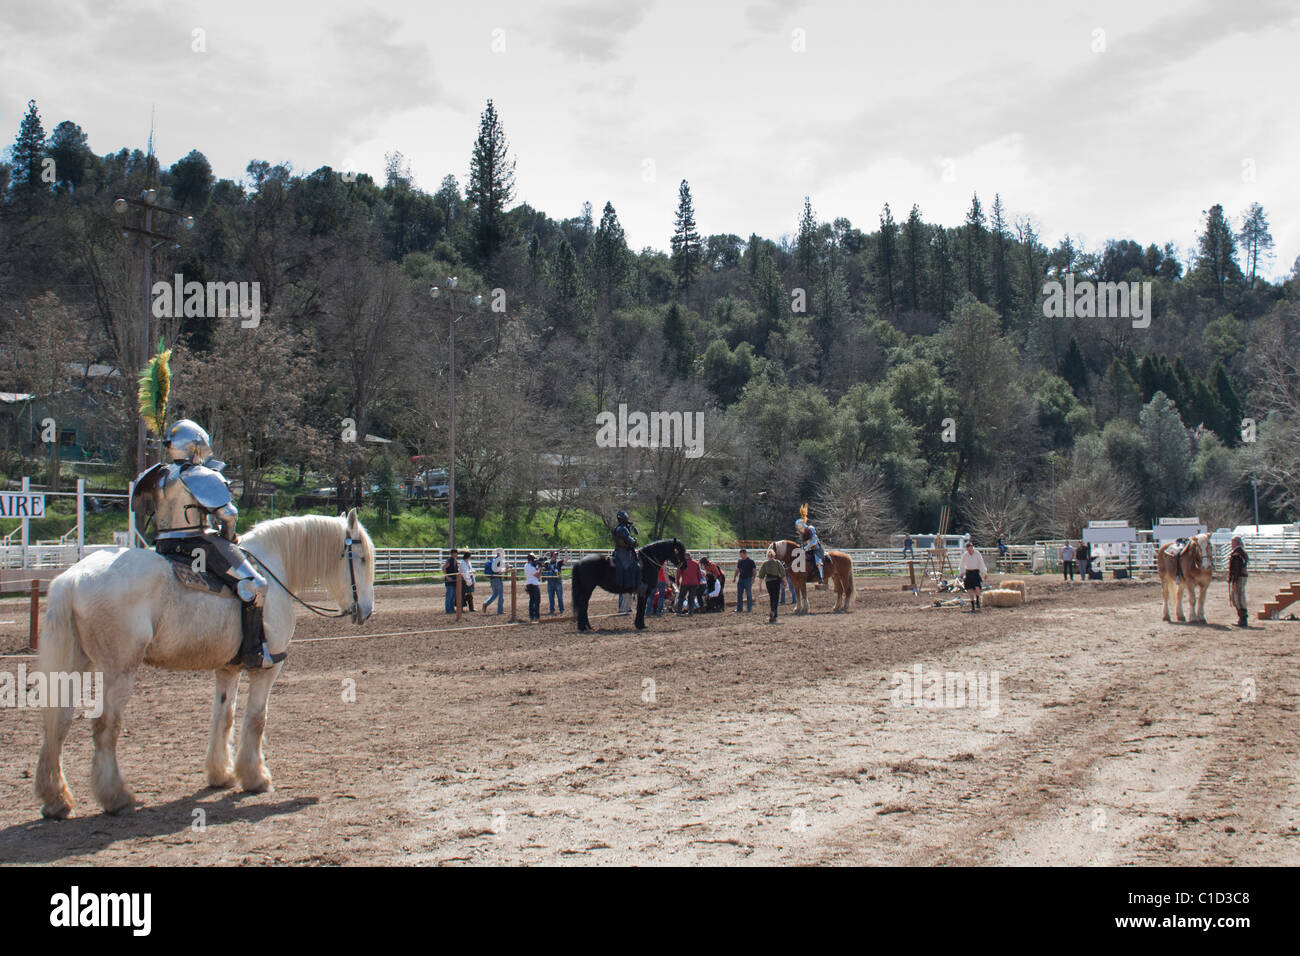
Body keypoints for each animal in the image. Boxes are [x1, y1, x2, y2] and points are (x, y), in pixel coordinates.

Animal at [32, 512, 377, 816]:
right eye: (360, 558)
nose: (366, 611)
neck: (274, 566)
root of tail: (73, 578)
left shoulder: (227, 669)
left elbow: (223, 718)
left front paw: (221, 775)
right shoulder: (266, 669)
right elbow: (256, 719)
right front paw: (256, 778)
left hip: (74, 664)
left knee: (57, 723)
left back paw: (56, 800)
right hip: (119, 670)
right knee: (105, 726)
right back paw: (116, 796)